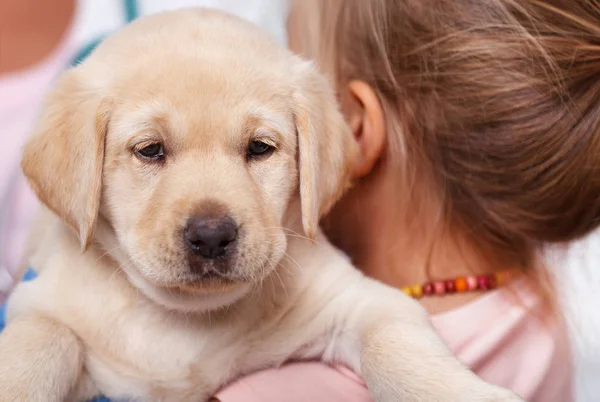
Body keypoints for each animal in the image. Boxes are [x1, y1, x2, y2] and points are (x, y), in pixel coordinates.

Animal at [0, 7, 524, 402]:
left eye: (259, 148)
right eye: (149, 150)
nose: (212, 236)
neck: (184, 318)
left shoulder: (355, 300)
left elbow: (396, 344)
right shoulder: (41, 303)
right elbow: (36, 345)